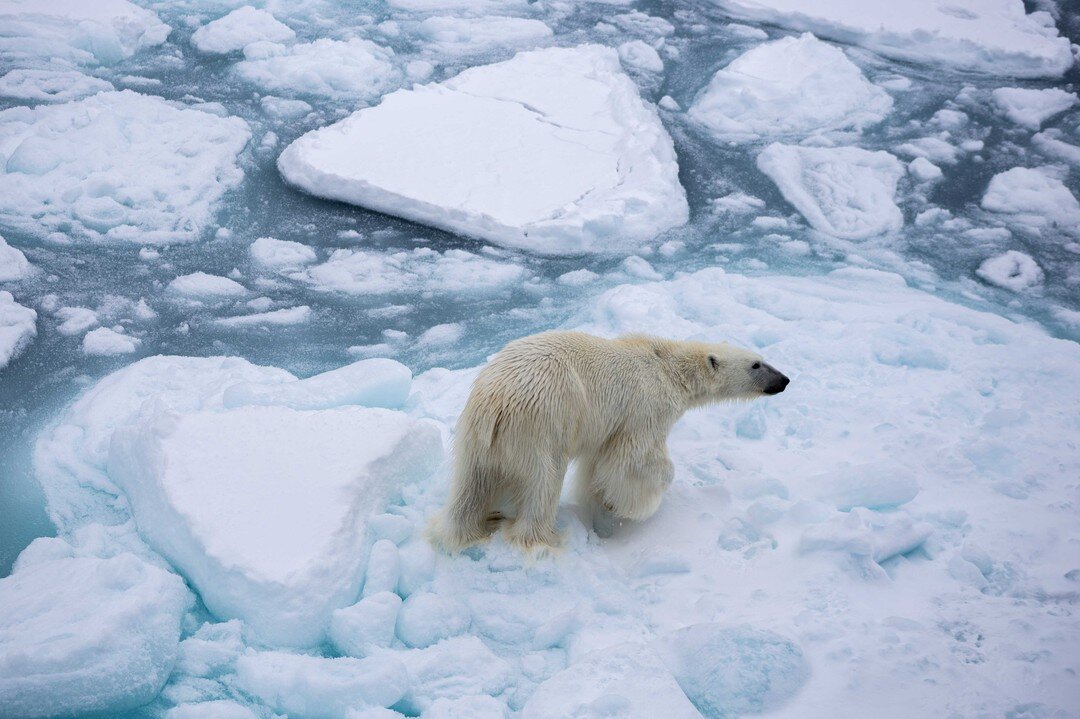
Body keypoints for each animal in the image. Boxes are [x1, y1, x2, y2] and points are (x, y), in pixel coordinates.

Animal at [429, 330, 794, 548]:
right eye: (756, 364)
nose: (785, 380)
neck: (667, 366)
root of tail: (496, 401)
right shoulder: (646, 408)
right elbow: (634, 461)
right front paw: (632, 503)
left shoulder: (605, 426)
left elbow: (598, 463)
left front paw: (599, 502)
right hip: (540, 427)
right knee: (544, 481)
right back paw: (542, 539)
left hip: (474, 437)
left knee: (470, 484)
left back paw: (466, 530)